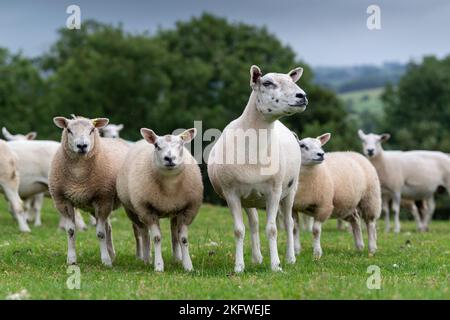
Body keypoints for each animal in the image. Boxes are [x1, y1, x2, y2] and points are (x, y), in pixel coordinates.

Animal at [48, 115, 128, 264]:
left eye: (92, 130)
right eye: (69, 130)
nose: (82, 146)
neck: (78, 175)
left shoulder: (102, 199)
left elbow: (100, 233)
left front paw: (105, 261)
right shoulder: (63, 201)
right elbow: (70, 231)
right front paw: (71, 259)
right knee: (108, 227)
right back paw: (112, 254)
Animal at [116, 127, 202, 270]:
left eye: (181, 144)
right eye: (156, 145)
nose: (169, 158)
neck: (169, 187)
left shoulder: (188, 209)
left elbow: (183, 239)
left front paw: (188, 266)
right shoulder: (147, 209)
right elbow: (156, 238)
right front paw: (158, 266)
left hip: (174, 210)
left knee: (173, 233)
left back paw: (177, 258)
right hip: (134, 211)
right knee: (144, 232)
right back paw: (146, 259)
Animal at [208, 65, 310, 272]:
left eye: (292, 81)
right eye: (267, 83)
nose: (302, 96)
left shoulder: (274, 191)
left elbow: (272, 229)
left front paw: (276, 266)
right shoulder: (231, 193)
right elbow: (239, 230)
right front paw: (239, 267)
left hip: (290, 190)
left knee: (289, 222)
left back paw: (290, 258)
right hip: (249, 198)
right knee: (253, 224)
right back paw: (256, 258)